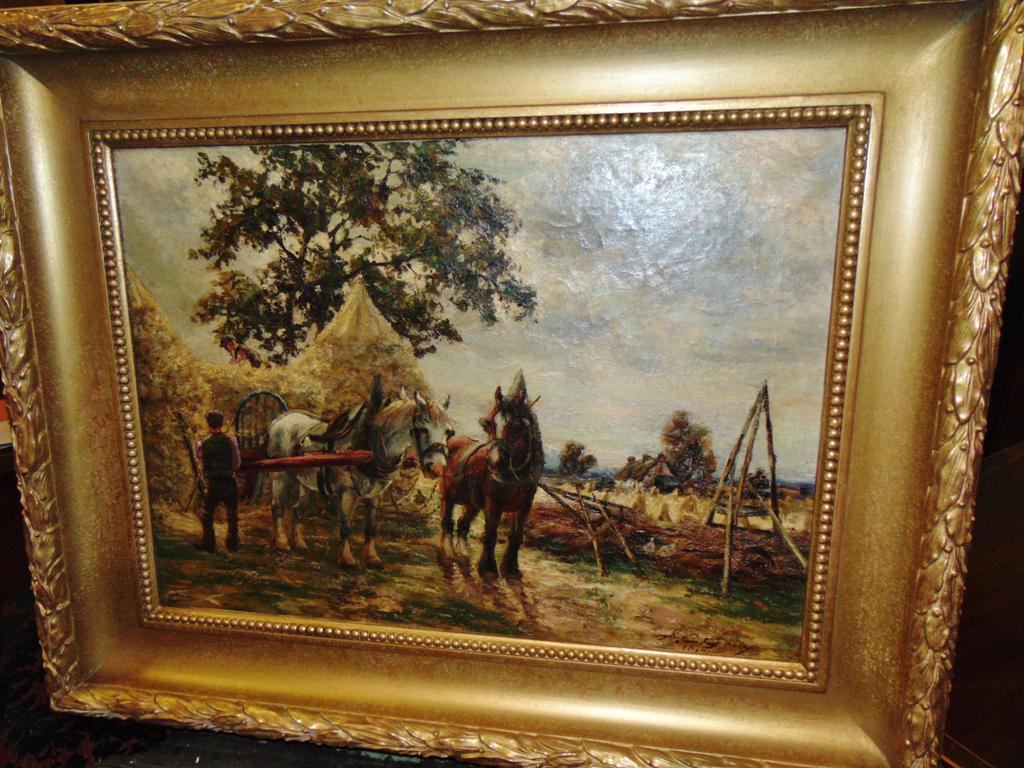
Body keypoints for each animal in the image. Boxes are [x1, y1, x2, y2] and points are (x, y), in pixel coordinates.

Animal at [267, 376, 454, 569]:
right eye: (423, 429)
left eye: (449, 431)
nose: (437, 467)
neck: (370, 445)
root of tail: (282, 419)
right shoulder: (347, 492)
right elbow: (345, 525)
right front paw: (347, 558)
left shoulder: (375, 495)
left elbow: (371, 527)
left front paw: (371, 558)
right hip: (281, 476)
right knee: (276, 507)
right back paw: (281, 543)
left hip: (306, 483)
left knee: (298, 509)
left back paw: (299, 543)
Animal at [439, 370, 543, 579]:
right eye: (486, 424)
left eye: (517, 425)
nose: (495, 463)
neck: (516, 475)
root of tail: (451, 443)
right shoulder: (493, 503)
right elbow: (491, 533)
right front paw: (487, 567)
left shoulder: (525, 506)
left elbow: (516, 536)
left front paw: (511, 568)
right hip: (448, 496)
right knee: (447, 522)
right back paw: (448, 551)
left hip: (471, 503)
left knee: (462, 525)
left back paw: (464, 553)